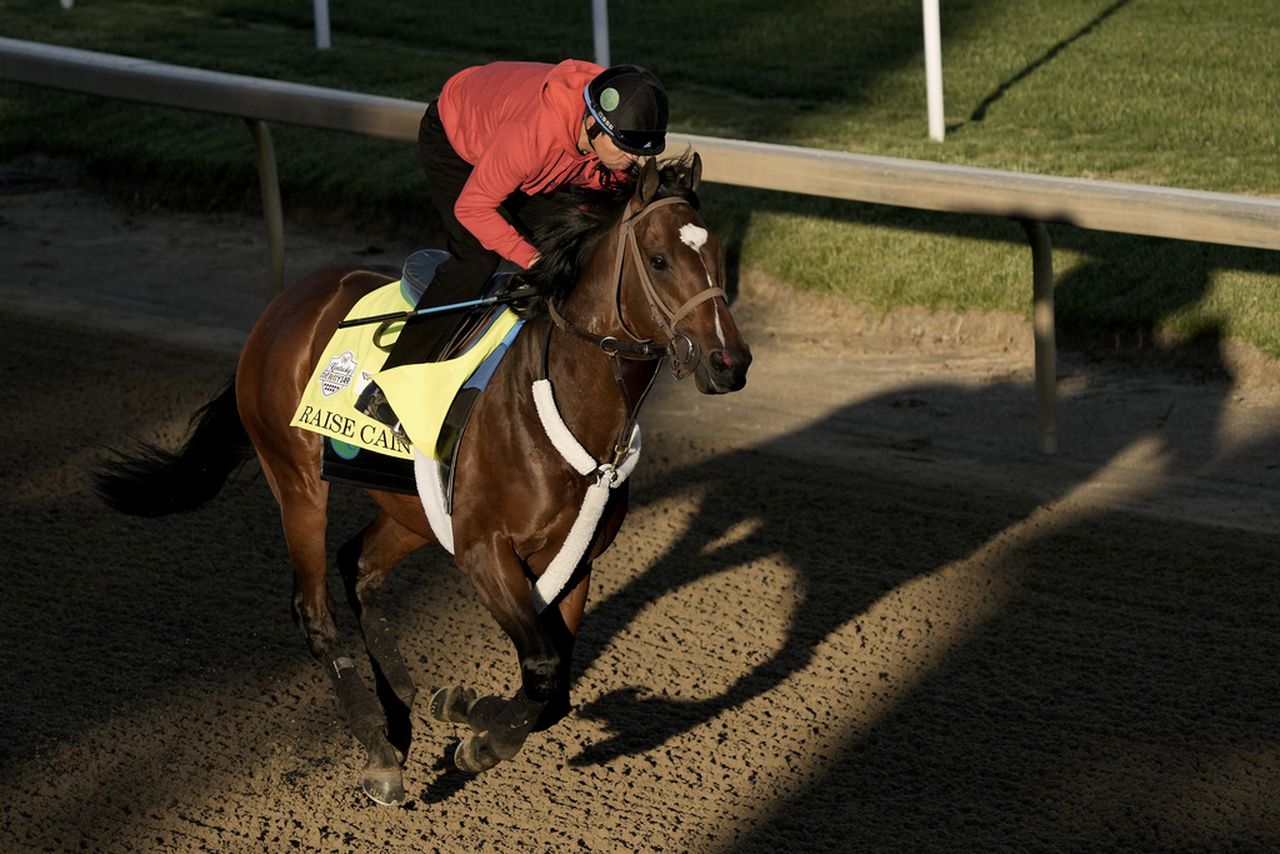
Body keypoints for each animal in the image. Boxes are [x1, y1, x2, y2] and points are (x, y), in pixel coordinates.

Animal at [99, 156, 747, 804]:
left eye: (718, 255)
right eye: (659, 260)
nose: (729, 362)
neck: (565, 403)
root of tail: (285, 304)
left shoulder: (576, 561)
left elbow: (555, 690)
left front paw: (462, 709)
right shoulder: (483, 550)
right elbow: (541, 670)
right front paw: (480, 743)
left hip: (409, 510)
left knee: (359, 566)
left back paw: (406, 704)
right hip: (298, 481)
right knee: (315, 611)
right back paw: (380, 750)